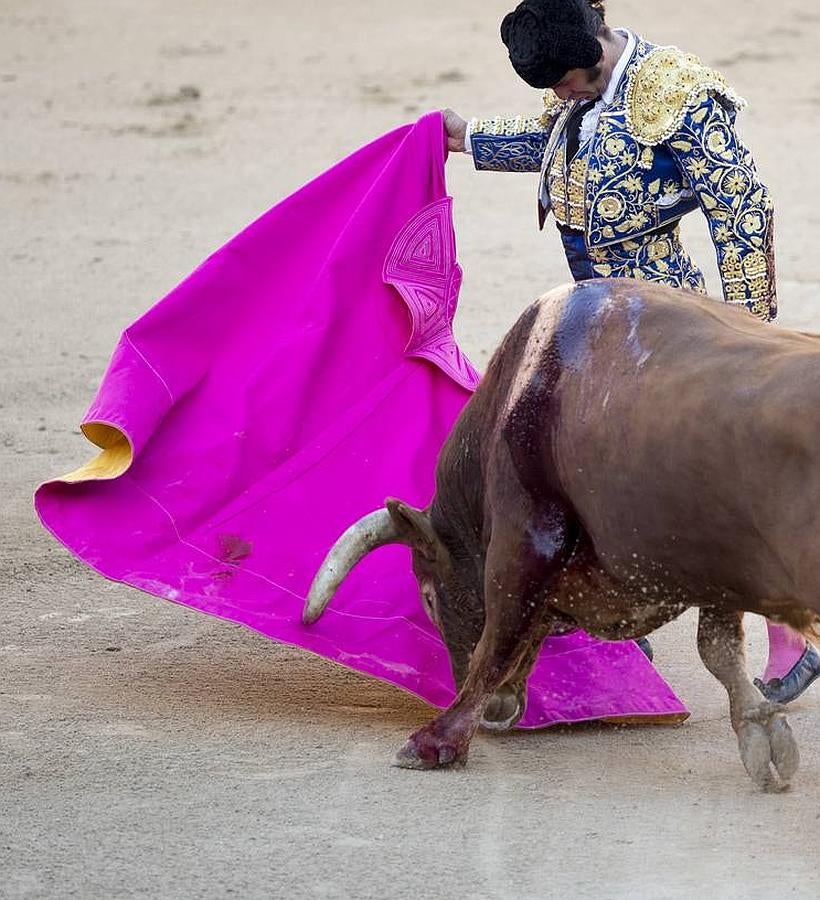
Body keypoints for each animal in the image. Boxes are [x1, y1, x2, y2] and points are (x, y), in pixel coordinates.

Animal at [302, 280, 820, 788]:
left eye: (429, 598)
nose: (498, 712)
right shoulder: (717, 563)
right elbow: (719, 649)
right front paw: (762, 733)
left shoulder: (526, 535)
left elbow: (497, 642)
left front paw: (434, 742)